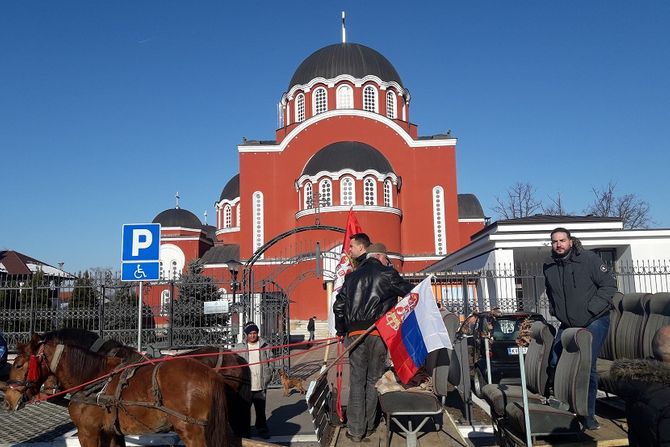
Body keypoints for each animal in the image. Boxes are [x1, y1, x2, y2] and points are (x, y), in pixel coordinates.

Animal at [5, 334, 234, 446]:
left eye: (18, 365)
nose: (7, 398)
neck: (94, 378)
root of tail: (211, 374)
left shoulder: (88, 433)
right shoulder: (111, 433)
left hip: (191, 431)